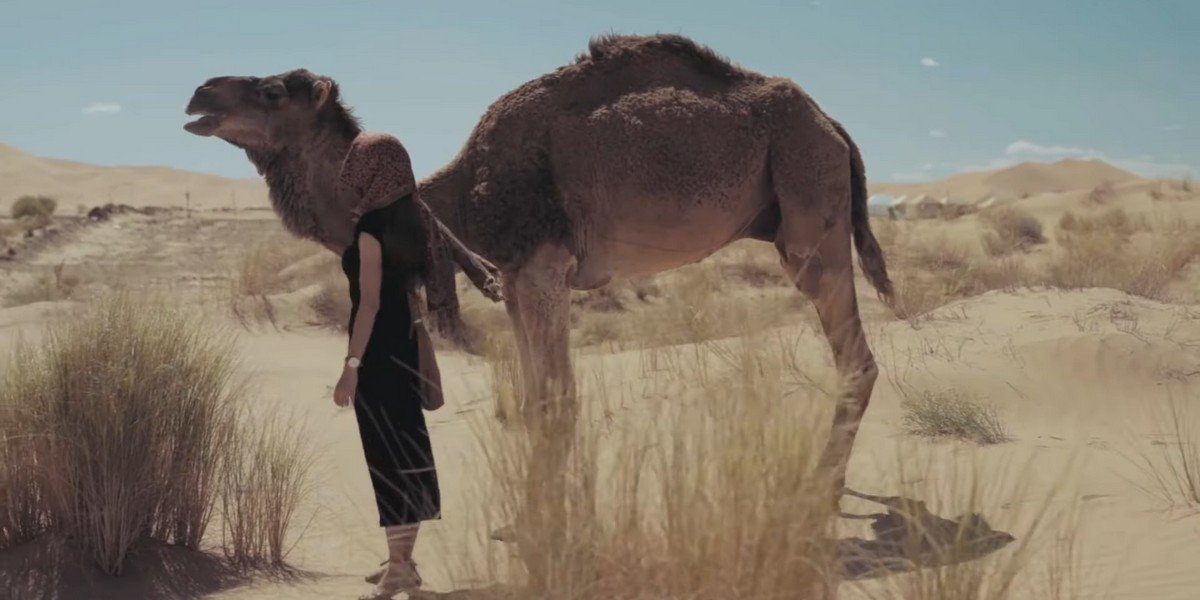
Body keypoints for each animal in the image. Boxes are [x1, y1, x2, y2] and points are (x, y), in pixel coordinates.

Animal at [183, 33, 893, 496]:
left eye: (273, 90)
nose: (198, 93)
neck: (456, 195)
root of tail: (832, 124)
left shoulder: (545, 268)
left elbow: (557, 402)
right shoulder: (515, 278)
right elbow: (533, 401)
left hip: (809, 203)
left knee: (855, 356)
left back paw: (819, 485)